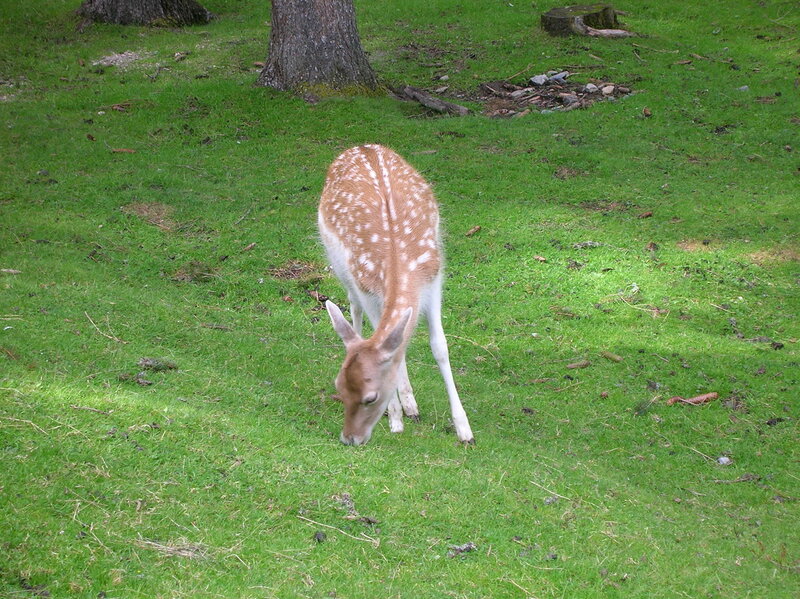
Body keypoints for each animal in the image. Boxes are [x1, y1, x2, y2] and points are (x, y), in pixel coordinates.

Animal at [318, 144, 474, 446]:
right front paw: (396, 418)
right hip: (340, 265)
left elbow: (440, 347)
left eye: (370, 398)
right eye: (338, 387)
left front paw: (465, 430)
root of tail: (361, 146)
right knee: (352, 307)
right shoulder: (368, 290)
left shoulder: (433, 281)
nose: (349, 438)